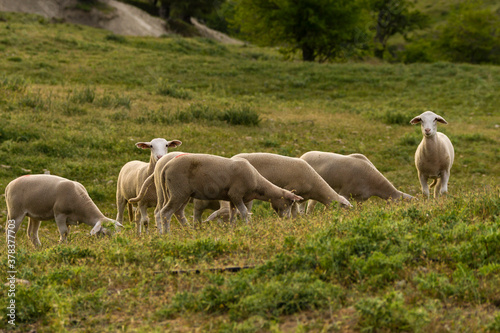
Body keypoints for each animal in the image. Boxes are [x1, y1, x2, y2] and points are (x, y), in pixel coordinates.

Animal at [154, 154, 302, 233]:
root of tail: (166, 166)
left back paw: (188, 230)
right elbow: (244, 212)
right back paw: (166, 234)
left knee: (176, 212)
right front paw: (248, 227)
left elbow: (233, 215)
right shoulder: (236, 194)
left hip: (180, 193)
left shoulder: (231, 198)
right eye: (290, 202)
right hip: (178, 190)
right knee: (165, 213)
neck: (257, 182)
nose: (287, 219)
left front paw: (232, 229)